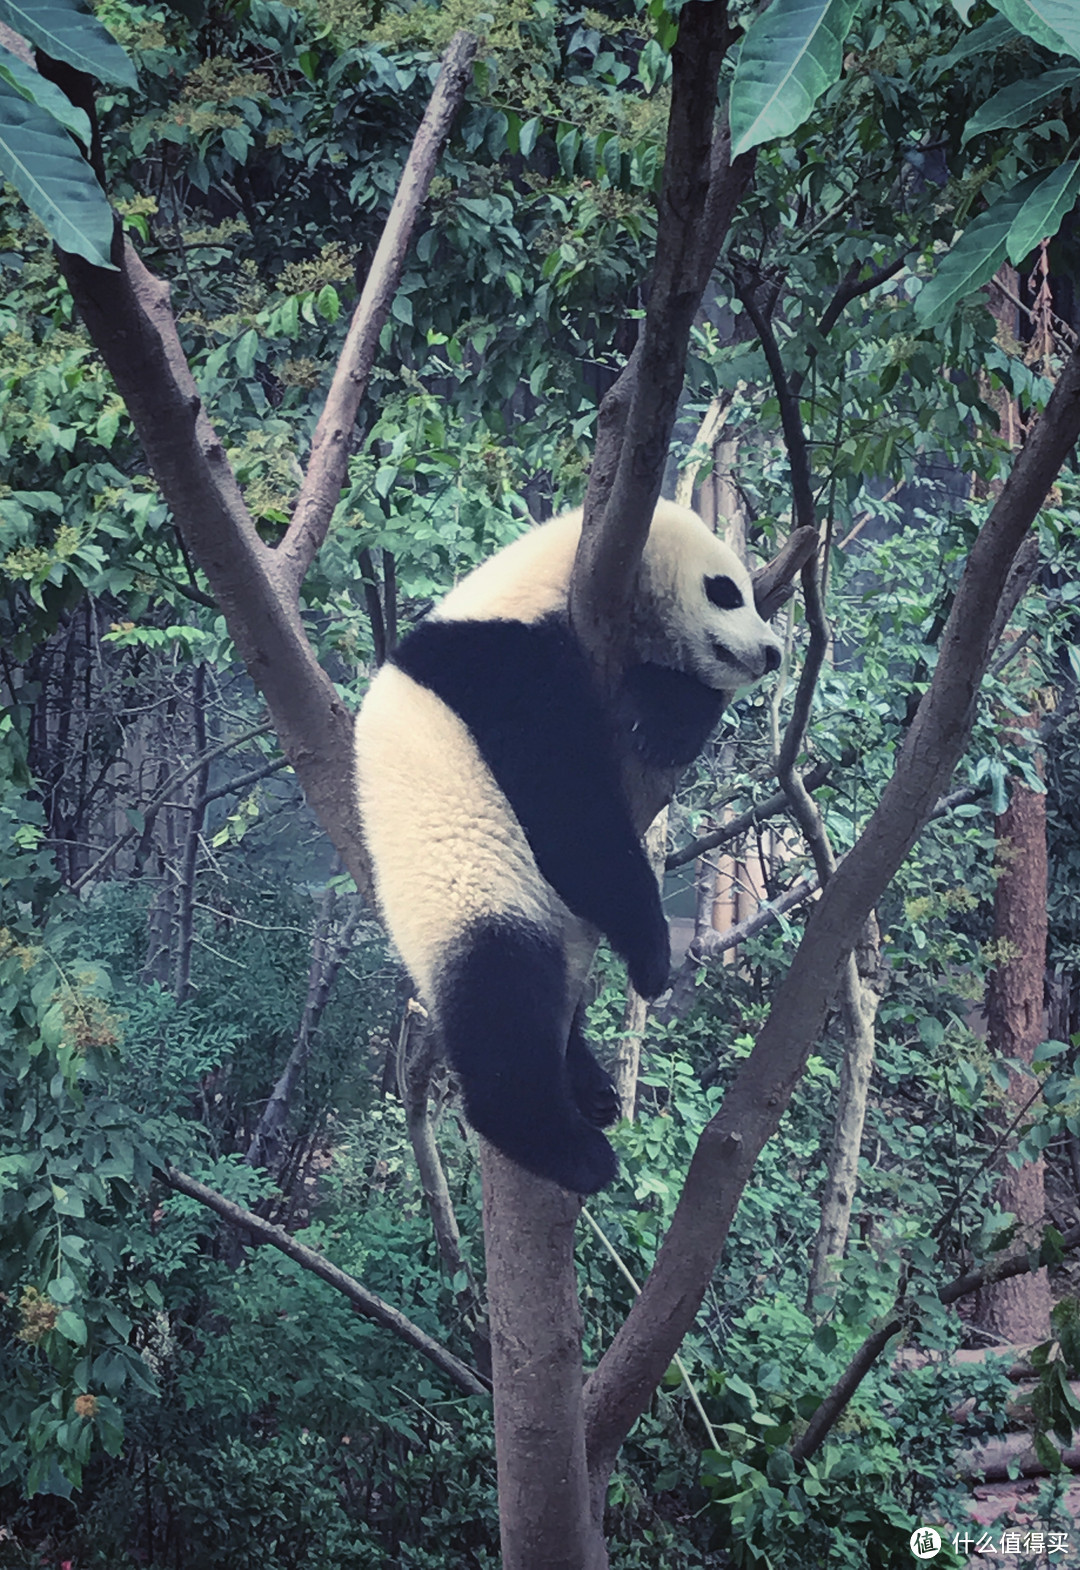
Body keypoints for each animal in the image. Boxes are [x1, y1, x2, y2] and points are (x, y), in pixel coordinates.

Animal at [354, 499, 784, 1186]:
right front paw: (652, 956)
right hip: (466, 894)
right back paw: (565, 1144)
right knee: (502, 994)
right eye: (725, 591)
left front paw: (668, 716)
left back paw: (592, 1087)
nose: (772, 654)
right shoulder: (504, 668)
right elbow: (569, 814)